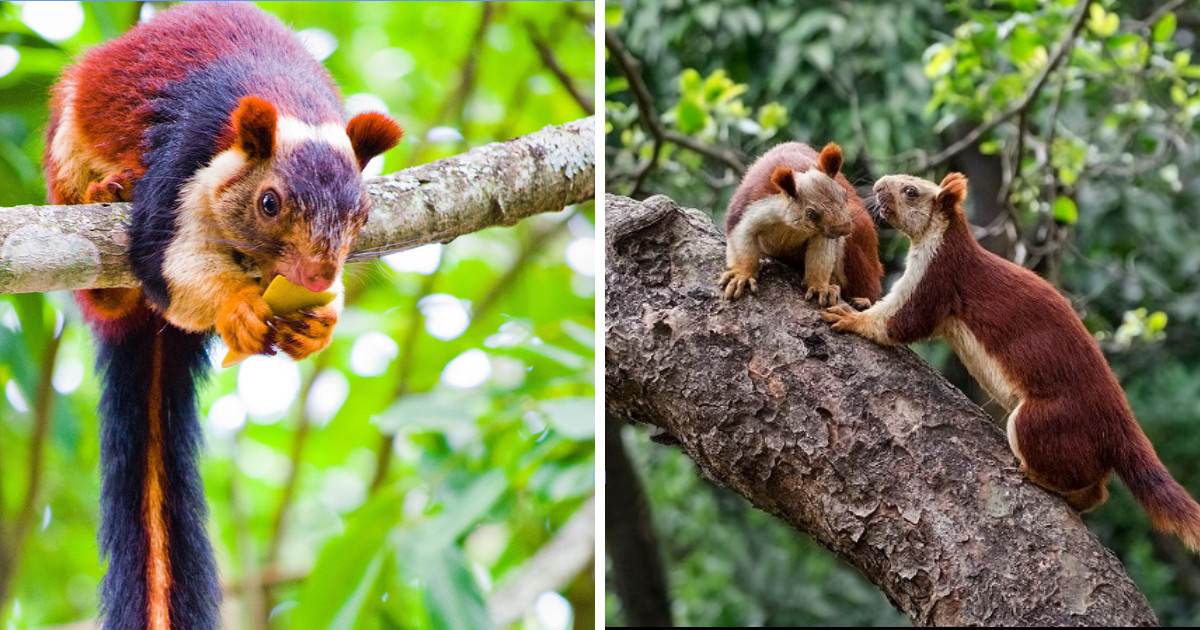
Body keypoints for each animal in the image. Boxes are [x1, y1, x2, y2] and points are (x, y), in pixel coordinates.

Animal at [43, 4, 402, 628]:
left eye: (362, 215)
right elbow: (168, 263)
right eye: (269, 203)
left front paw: (318, 326)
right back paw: (102, 202)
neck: (293, 103)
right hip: (67, 143)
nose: (316, 277)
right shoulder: (181, 164)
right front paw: (236, 310)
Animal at [720, 142, 883, 307]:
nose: (843, 229)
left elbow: (820, 257)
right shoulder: (749, 206)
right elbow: (741, 237)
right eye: (811, 214)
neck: (791, 224)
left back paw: (863, 300)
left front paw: (820, 286)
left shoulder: (823, 234)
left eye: (845, 196)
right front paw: (742, 275)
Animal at [821, 172, 1200, 551]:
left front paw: (851, 317)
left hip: (1044, 421)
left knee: (1079, 476)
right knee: (1097, 489)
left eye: (911, 191)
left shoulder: (938, 276)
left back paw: (1036, 476)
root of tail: (1118, 421)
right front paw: (858, 300)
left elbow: (903, 321)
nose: (879, 184)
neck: (942, 239)